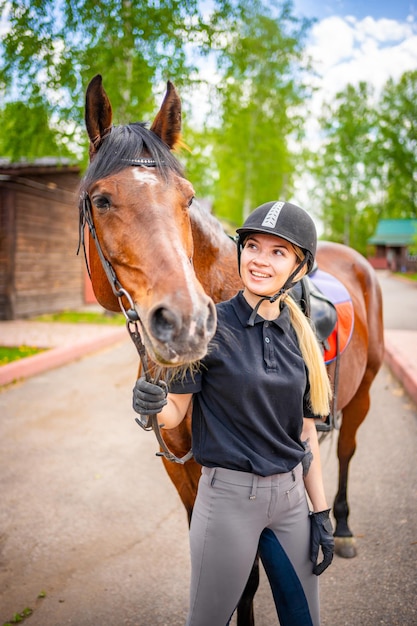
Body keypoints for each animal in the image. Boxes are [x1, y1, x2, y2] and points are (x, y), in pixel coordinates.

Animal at [80, 75, 384, 620]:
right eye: (102, 200)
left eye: (187, 199)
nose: (187, 322)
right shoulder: (183, 472)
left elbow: (247, 579)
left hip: (364, 392)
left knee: (348, 450)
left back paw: (344, 529)